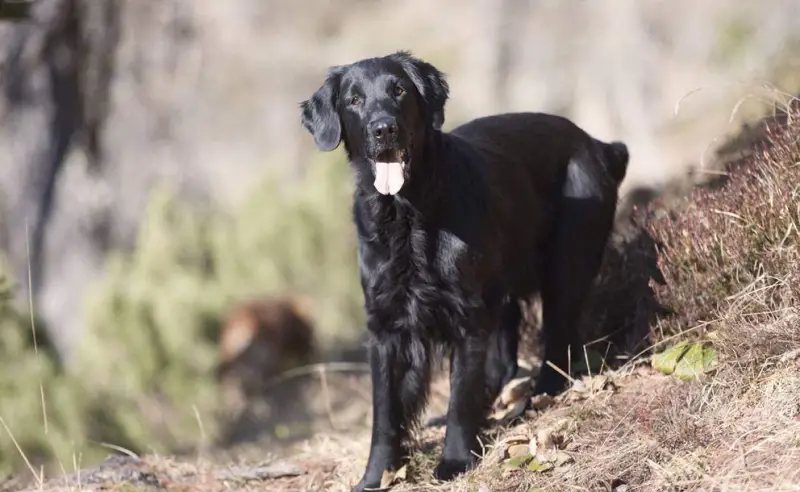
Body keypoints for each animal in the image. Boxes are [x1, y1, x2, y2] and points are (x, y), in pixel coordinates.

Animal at [298, 52, 624, 490]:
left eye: (398, 90)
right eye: (354, 100)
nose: (384, 129)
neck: (407, 215)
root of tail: (596, 144)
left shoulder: (466, 316)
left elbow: (460, 396)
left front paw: (454, 461)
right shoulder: (385, 327)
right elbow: (385, 414)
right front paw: (375, 475)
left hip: (564, 269)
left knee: (557, 348)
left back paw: (534, 401)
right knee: (504, 361)